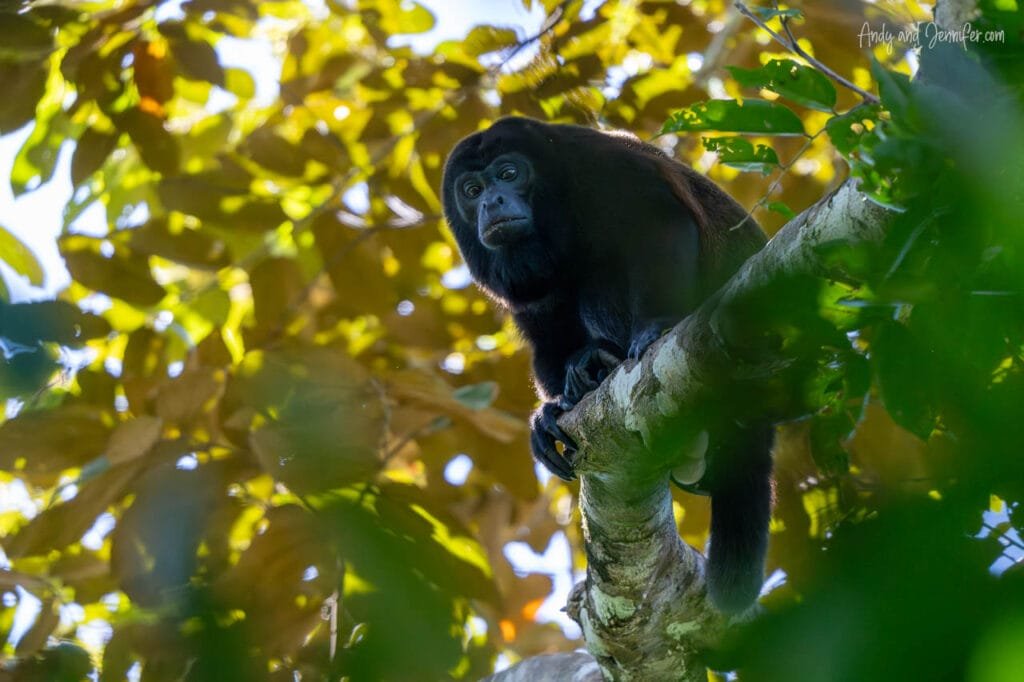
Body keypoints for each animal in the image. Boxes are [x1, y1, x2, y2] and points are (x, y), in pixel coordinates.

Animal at [441, 116, 772, 613]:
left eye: (509, 174)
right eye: (472, 189)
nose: (491, 202)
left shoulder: (601, 168)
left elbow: (660, 224)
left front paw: (653, 328)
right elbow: (541, 321)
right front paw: (552, 410)